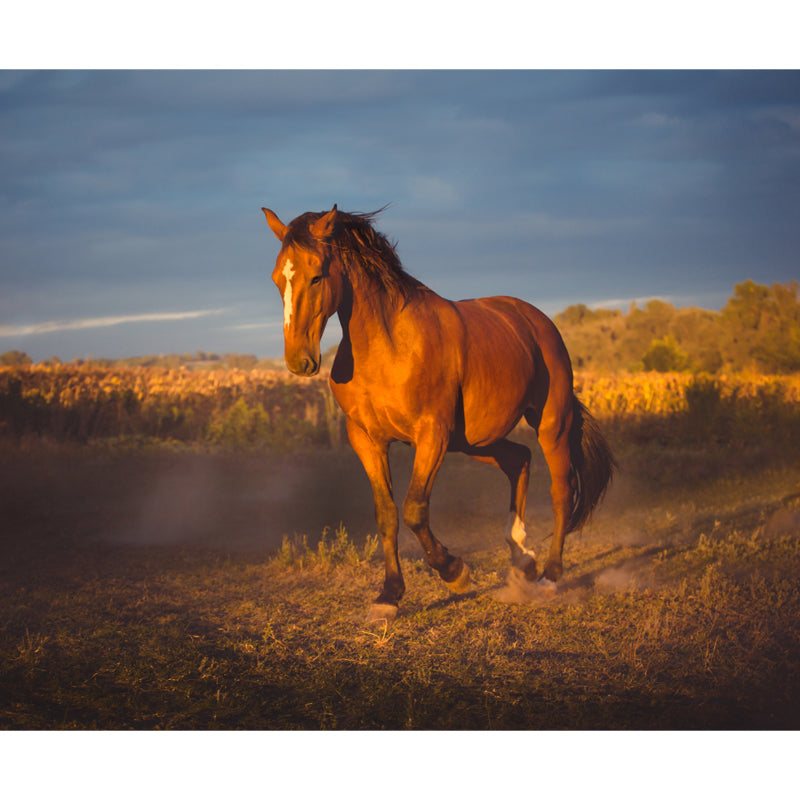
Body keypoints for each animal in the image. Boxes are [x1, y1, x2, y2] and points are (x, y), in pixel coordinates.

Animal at [262, 204, 615, 622]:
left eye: (316, 274)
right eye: (277, 278)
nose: (299, 361)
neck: (388, 346)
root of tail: (537, 321)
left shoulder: (432, 434)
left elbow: (414, 509)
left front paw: (455, 572)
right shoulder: (367, 439)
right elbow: (387, 514)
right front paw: (388, 596)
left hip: (550, 424)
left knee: (561, 490)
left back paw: (548, 576)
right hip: (475, 441)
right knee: (519, 460)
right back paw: (522, 560)